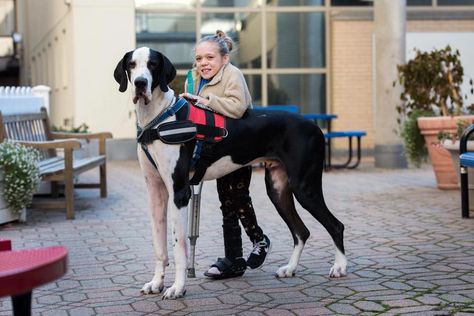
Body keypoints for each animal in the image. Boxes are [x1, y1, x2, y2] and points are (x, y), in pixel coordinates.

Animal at [113, 47, 346, 298]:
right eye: (132, 65)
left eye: (153, 65)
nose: (140, 83)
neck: (159, 117)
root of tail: (314, 125)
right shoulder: (156, 193)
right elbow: (159, 246)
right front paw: (156, 283)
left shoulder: (179, 192)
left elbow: (178, 247)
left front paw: (178, 287)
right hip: (278, 189)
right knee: (301, 231)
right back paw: (290, 268)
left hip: (305, 188)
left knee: (335, 225)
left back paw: (340, 267)